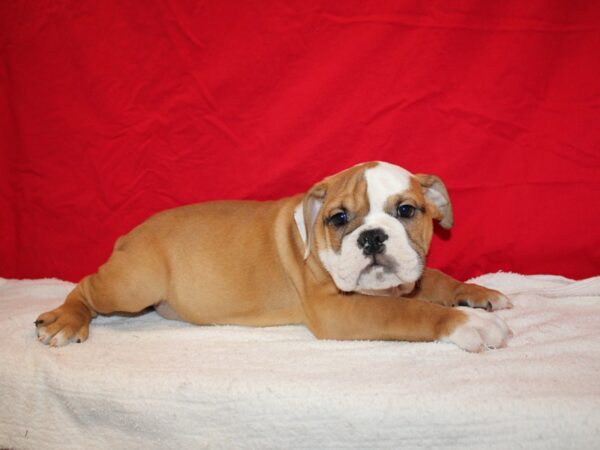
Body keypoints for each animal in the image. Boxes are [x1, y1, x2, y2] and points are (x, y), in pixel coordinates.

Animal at [34, 162, 510, 352]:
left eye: (406, 211)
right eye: (339, 219)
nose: (373, 238)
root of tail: (130, 235)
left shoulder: (408, 279)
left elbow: (435, 279)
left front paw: (478, 293)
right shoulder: (340, 311)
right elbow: (412, 314)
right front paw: (470, 323)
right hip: (134, 283)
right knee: (85, 287)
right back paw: (64, 321)